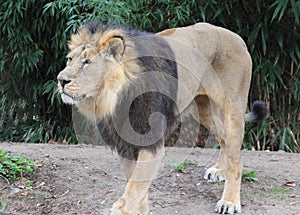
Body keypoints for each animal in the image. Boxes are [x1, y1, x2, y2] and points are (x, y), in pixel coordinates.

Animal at [56, 21, 268, 213]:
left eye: (87, 62)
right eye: (69, 59)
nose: (60, 80)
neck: (113, 99)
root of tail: (238, 38)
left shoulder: (151, 141)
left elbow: (135, 185)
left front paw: (124, 209)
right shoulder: (126, 143)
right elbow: (137, 183)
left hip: (232, 108)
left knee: (236, 158)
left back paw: (229, 201)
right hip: (203, 109)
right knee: (224, 139)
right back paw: (219, 170)